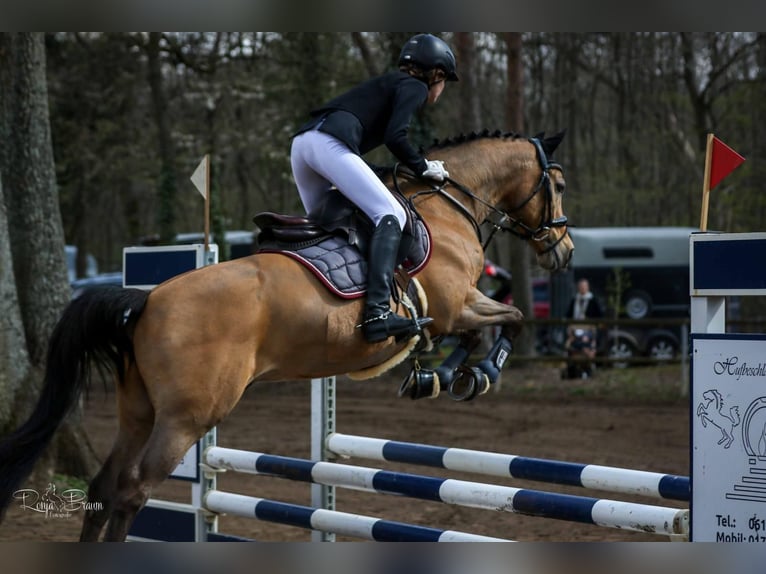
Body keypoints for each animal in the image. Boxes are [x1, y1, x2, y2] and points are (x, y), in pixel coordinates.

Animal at [0, 128, 576, 544]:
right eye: (560, 185)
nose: (564, 251)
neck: (448, 208)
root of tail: (148, 301)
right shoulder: (455, 307)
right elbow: (510, 318)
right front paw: (473, 374)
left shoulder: (457, 310)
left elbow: (497, 323)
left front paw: (440, 377)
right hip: (186, 418)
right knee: (130, 491)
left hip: (139, 412)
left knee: (102, 486)